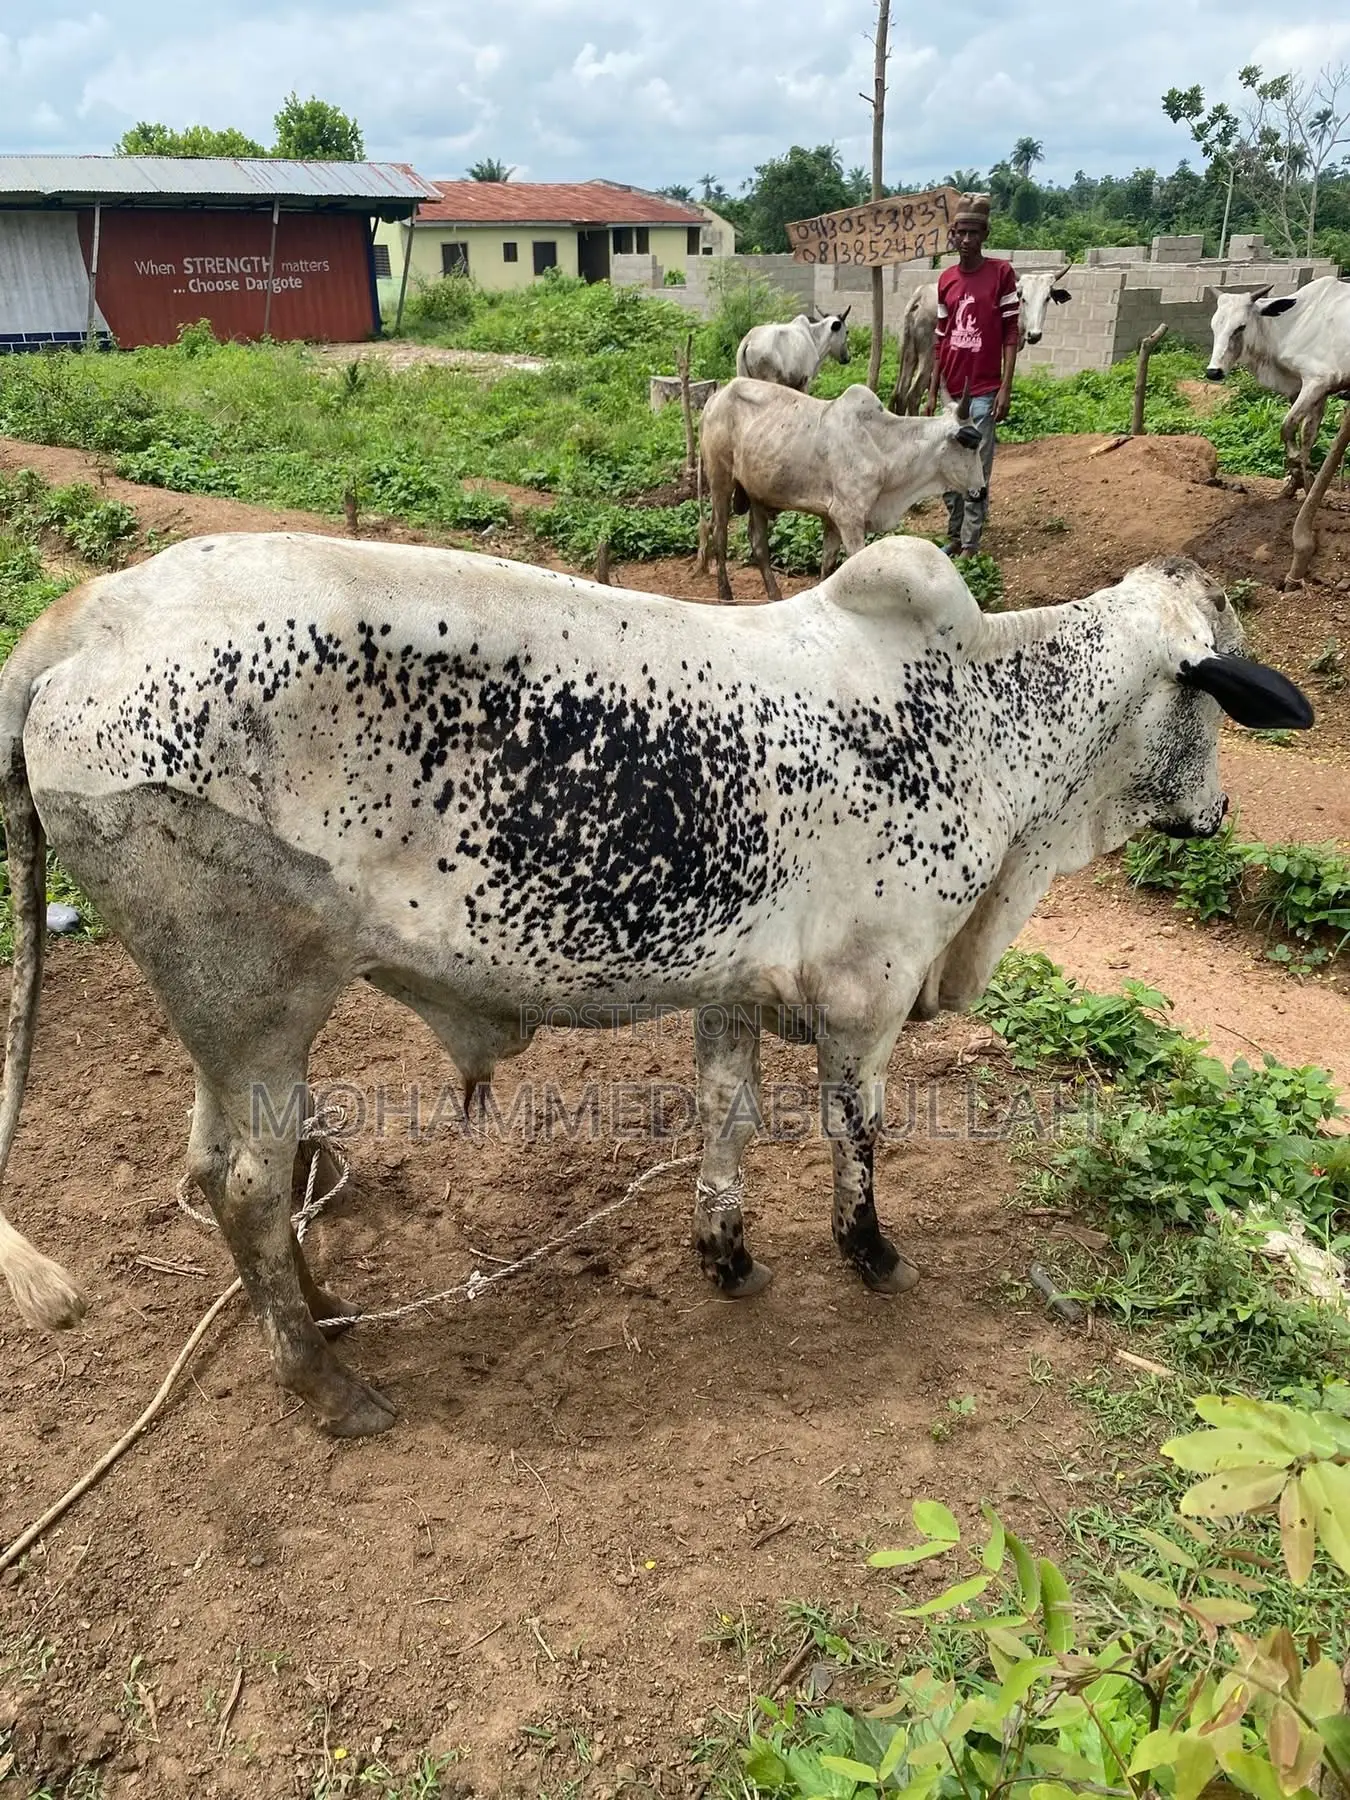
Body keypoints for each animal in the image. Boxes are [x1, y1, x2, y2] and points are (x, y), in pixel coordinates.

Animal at [0, 533, 1313, 1437]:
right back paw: (328, 1382)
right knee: (247, 1187)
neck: (988, 717)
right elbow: (859, 1135)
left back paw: (321, 1314)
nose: (1223, 812)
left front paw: (725, 1253)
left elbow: (725, 1118)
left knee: (215, 1168)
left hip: (229, 1029)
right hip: (265, 1005)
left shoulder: (734, 987)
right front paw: (869, 1253)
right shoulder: (872, 989)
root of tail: (83, 616)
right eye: (1217, 695)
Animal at [700, 376, 986, 602]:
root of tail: (716, 397)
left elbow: (828, 568)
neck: (883, 447)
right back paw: (725, 595)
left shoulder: (831, 519)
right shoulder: (849, 518)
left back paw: (774, 596)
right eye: (970, 442)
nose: (981, 492)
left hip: (757, 492)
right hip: (720, 481)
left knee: (759, 544)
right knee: (719, 534)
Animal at [889, 269, 1073, 415]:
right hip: (927, 357)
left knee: (900, 393)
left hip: (909, 353)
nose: (1034, 334)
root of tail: (920, 295)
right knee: (913, 395)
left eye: (1047, 298)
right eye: (1022, 297)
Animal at [1205, 276, 1350, 497]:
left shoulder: (1318, 381)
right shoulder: (1308, 389)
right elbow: (1307, 436)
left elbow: (1287, 426)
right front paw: (1300, 484)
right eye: (1214, 327)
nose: (1214, 372)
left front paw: (1296, 463)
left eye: (1241, 327)